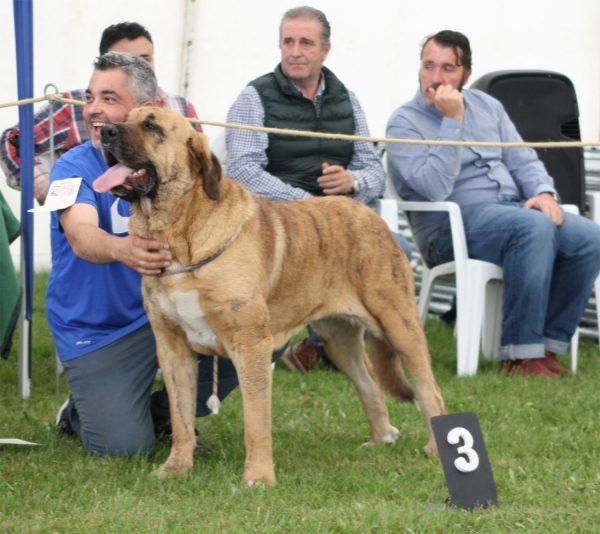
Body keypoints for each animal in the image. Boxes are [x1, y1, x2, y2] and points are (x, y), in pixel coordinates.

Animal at [94, 108, 448, 486]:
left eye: (152, 126)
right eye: (125, 117)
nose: (105, 131)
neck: (180, 235)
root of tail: (371, 215)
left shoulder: (251, 344)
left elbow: (256, 419)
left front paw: (259, 477)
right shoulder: (173, 348)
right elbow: (181, 417)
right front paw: (176, 467)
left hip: (399, 324)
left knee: (429, 388)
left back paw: (436, 448)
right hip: (338, 338)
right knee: (368, 381)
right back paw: (381, 438)